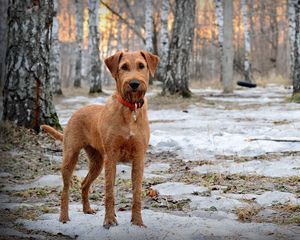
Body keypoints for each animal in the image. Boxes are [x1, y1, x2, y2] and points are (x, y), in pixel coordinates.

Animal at [42, 50, 161, 229]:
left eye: (141, 65)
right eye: (124, 67)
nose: (134, 83)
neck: (130, 109)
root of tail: (77, 111)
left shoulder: (139, 158)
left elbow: (137, 193)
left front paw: (138, 221)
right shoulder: (111, 157)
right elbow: (109, 191)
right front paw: (109, 220)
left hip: (97, 162)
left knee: (84, 184)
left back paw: (87, 209)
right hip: (71, 156)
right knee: (65, 190)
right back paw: (63, 217)